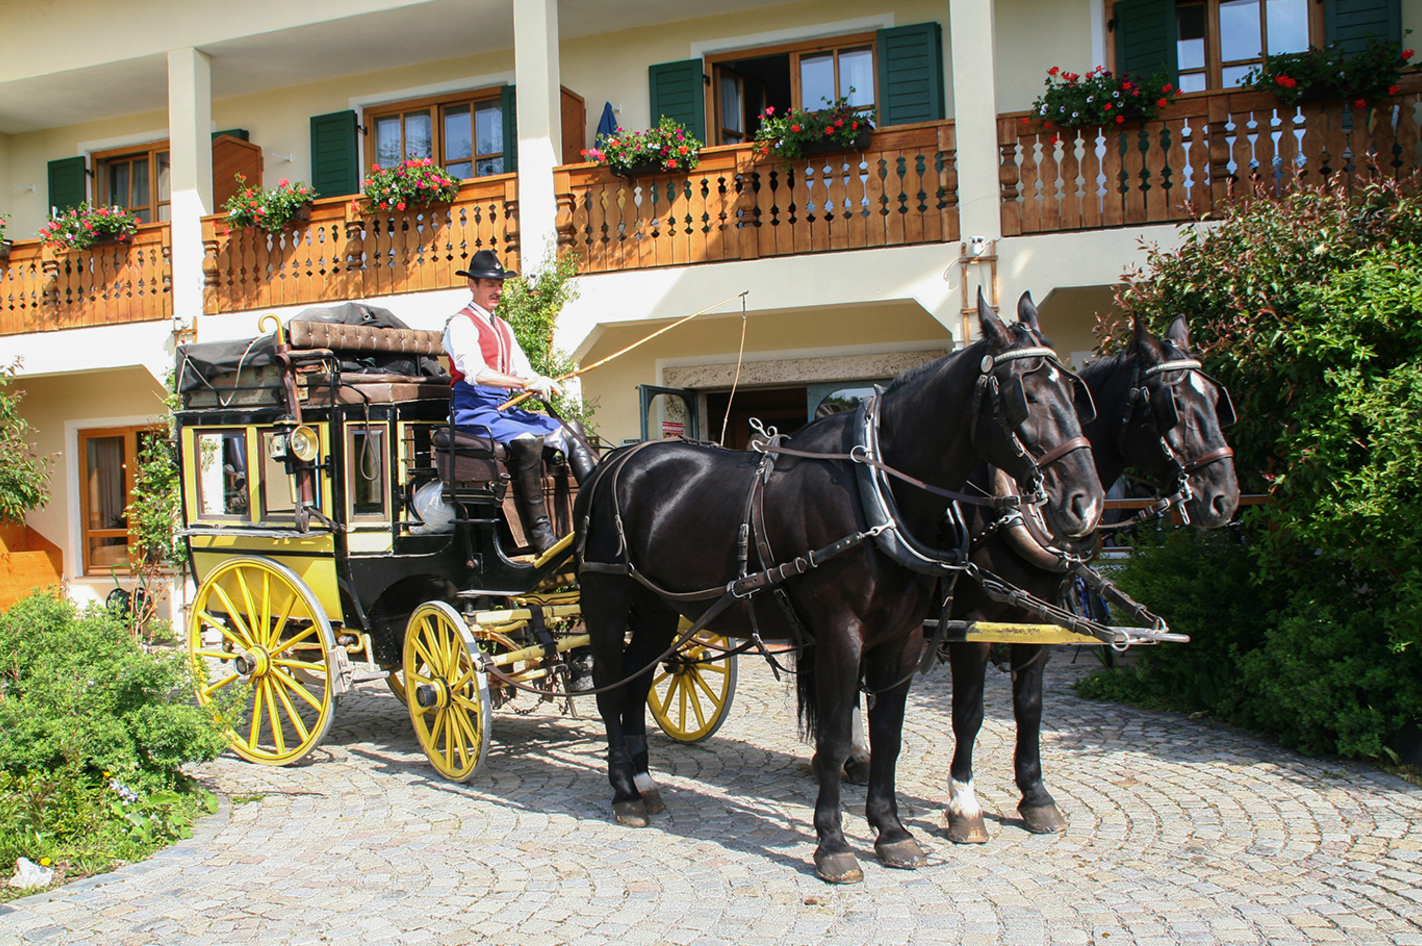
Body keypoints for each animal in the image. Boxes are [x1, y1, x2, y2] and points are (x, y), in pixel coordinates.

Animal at [571, 291, 1103, 881]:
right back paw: (623, 793)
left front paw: (892, 832)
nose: (1084, 504)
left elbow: (890, 733)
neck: (878, 492)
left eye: (1075, 394)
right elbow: (834, 736)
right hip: (607, 600)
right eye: (1025, 395)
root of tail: (612, 461)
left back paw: (644, 783)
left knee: (639, 683)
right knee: (612, 687)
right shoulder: (842, 634)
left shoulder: (903, 637)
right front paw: (833, 842)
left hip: (662, 610)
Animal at [932, 312, 1234, 836]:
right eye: (1173, 405)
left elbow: (1030, 707)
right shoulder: (973, 622)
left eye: (1216, 401)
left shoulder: (1038, 621)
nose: (1225, 496)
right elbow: (968, 714)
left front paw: (1035, 796)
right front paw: (964, 806)